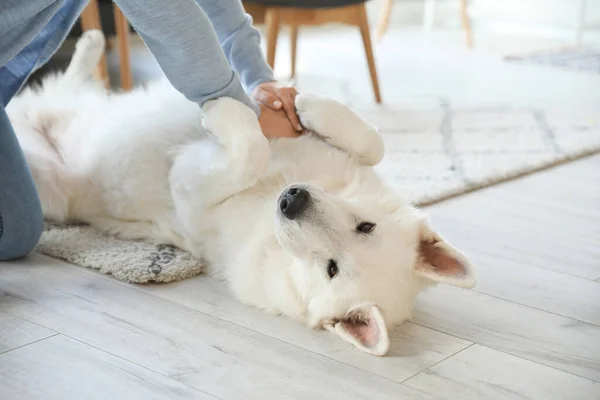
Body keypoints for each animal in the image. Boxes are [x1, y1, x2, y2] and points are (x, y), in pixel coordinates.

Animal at [7, 32, 476, 356]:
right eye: (366, 226)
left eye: (331, 269)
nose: (292, 200)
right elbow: (372, 141)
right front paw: (301, 102)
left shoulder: (194, 193)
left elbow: (248, 149)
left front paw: (224, 108)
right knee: (69, 84)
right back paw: (89, 44)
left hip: (46, 184)